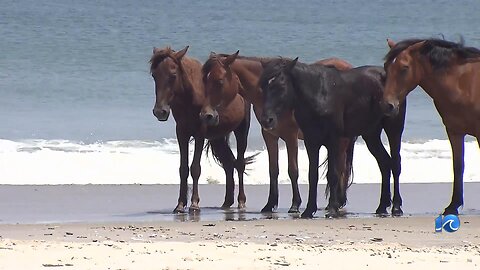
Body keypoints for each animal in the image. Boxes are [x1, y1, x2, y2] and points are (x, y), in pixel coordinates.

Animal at [151, 46, 251, 212]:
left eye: (173, 75)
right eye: (154, 75)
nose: (160, 111)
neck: (189, 98)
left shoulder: (200, 134)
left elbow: (195, 168)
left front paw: (194, 203)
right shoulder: (181, 133)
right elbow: (183, 169)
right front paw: (180, 204)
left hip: (241, 130)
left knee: (239, 163)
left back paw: (241, 201)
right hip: (217, 138)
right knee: (228, 164)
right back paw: (227, 202)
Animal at [209, 52, 352, 213]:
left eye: (219, 80)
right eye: (205, 78)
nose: (209, 113)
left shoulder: (291, 136)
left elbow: (293, 170)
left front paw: (295, 204)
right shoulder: (269, 135)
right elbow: (273, 170)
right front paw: (270, 204)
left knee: (341, 167)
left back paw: (337, 202)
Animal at [260, 58, 406, 217]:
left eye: (280, 86)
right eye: (262, 86)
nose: (267, 120)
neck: (320, 94)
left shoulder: (334, 141)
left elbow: (333, 174)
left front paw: (332, 208)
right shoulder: (312, 142)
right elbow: (313, 174)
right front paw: (309, 210)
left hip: (394, 129)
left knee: (395, 163)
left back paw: (396, 207)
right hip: (371, 135)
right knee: (384, 164)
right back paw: (382, 207)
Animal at [382, 38, 480, 215]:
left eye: (404, 68)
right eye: (386, 66)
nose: (388, 105)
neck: (465, 83)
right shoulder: (454, 131)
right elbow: (458, 166)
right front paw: (453, 206)